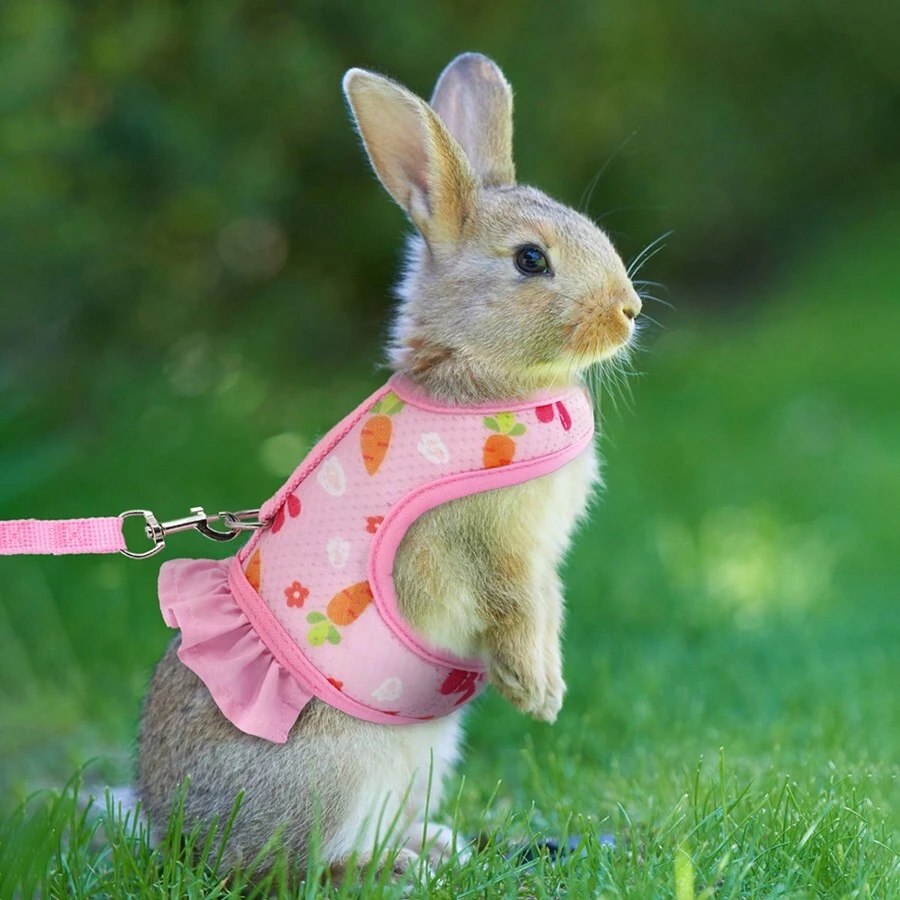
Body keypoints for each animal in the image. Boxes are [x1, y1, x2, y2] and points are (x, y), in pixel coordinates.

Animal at [137, 52, 642, 882]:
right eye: (530, 260)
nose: (629, 310)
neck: (475, 373)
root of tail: (182, 839)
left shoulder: (537, 557)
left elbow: (547, 604)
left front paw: (542, 690)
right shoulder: (491, 548)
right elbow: (518, 607)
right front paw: (539, 695)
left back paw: (430, 846)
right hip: (337, 774)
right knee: (297, 868)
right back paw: (403, 866)